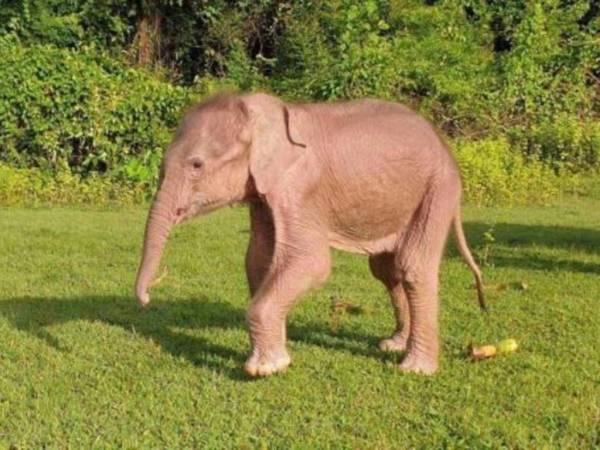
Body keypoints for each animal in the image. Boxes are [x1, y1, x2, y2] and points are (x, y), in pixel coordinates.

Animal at [135, 92, 482, 376]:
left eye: (197, 165)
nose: (146, 299)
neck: (262, 110)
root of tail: (445, 145)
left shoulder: (300, 188)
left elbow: (310, 262)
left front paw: (265, 368)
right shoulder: (265, 192)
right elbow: (259, 259)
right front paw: (274, 355)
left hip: (438, 188)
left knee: (412, 266)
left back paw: (415, 368)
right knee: (386, 269)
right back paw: (393, 345)